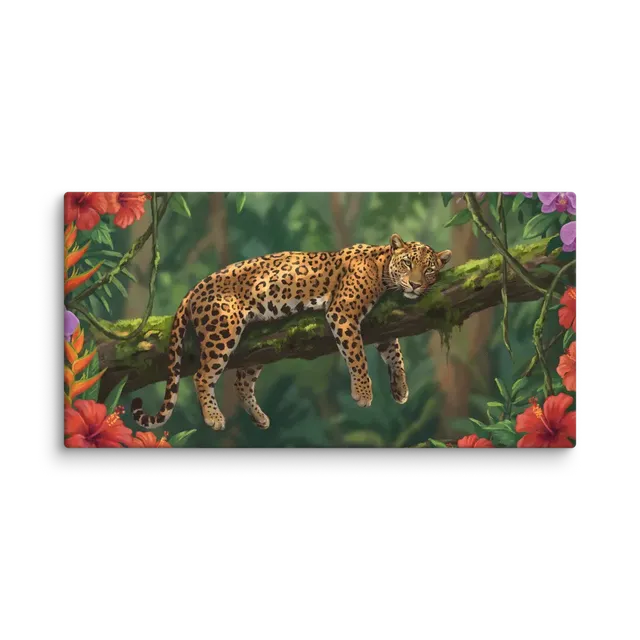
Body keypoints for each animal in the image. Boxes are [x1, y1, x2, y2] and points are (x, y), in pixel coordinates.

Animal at [131, 234, 452, 432]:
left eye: (429, 270)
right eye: (408, 263)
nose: (415, 285)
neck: (381, 264)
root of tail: (196, 287)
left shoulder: (381, 324)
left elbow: (394, 352)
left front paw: (400, 387)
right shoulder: (343, 313)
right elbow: (357, 356)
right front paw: (362, 393)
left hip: (256, 346)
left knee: (241, 383)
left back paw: (259, 418)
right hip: (223, 331)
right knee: (202, 375)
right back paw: (213, 417)